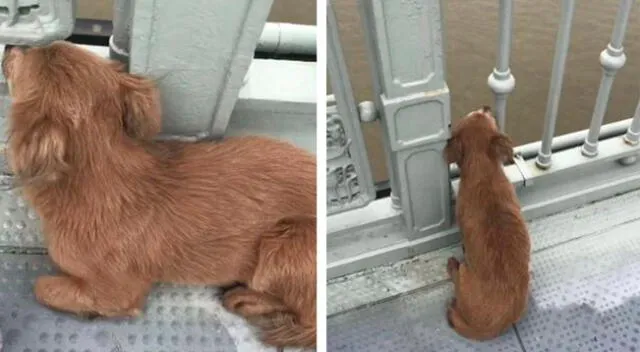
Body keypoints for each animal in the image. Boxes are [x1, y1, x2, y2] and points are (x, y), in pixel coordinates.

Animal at [1, 41, 318, 350]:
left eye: (29, 54)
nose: (11, 46)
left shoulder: (117, 291)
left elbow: (42, 286)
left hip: (284, 245)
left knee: (307, 317)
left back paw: (249, 299)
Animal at [444, 106, 528, 340]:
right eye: (489, 117)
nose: (486, 106)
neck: (482, 168)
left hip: (464, 274)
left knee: (457, 277)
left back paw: (452, 266)